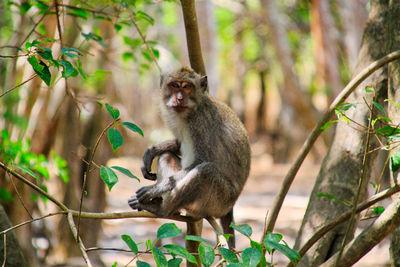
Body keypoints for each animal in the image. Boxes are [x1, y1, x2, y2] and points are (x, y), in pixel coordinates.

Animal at [128, 67, 250, 249]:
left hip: (219, 202)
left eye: (187, 87)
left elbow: (201, 161)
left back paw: (162, 209)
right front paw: (152, 150)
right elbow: (179, 144)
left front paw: (154, 189)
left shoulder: (201, 122)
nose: (179, 98)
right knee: (167, 157)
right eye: (174, 85)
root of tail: (230, 207)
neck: (191, 111)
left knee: (205, 172)